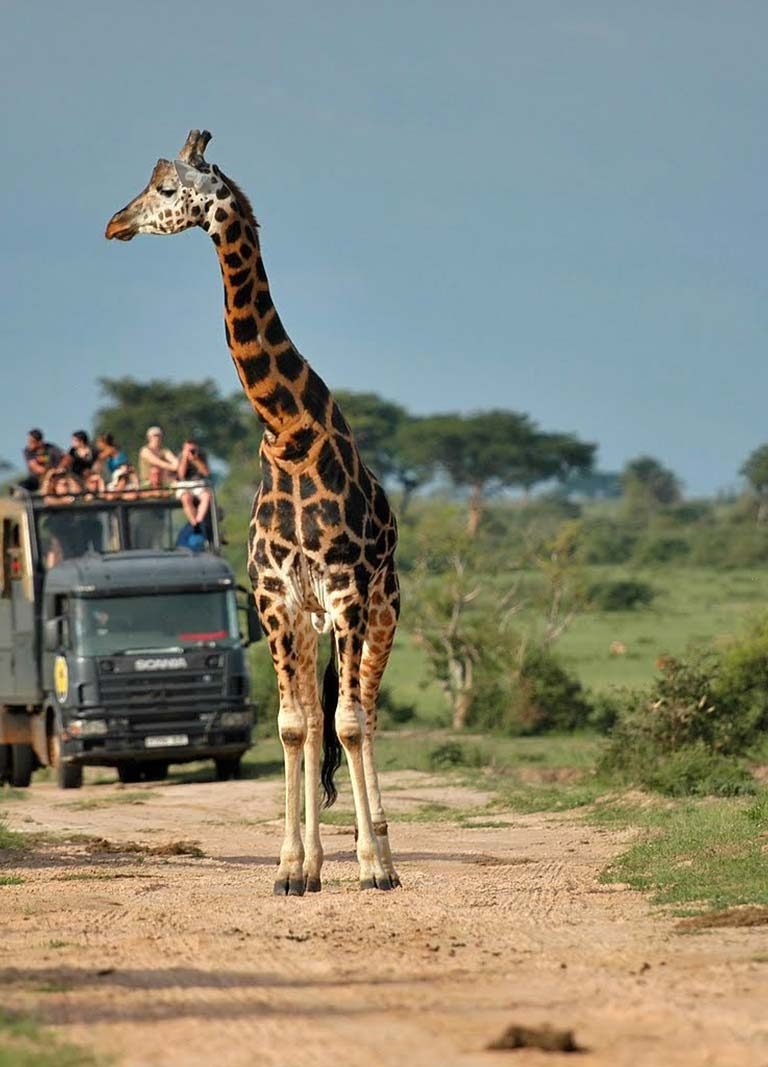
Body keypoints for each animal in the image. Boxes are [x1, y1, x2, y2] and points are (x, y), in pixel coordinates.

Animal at [107, 131, 401, 892]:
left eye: (168, 189)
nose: (115, 223)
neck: (290, 437)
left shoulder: (346, 592)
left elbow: (348, 723)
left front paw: (368, 866)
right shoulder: (276, 599)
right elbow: (294, 726)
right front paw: (293, 869)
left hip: (381, 610)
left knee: (366, 712)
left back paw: (382, 855)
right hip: (308, 624)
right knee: (315, 716)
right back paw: (320, 860)